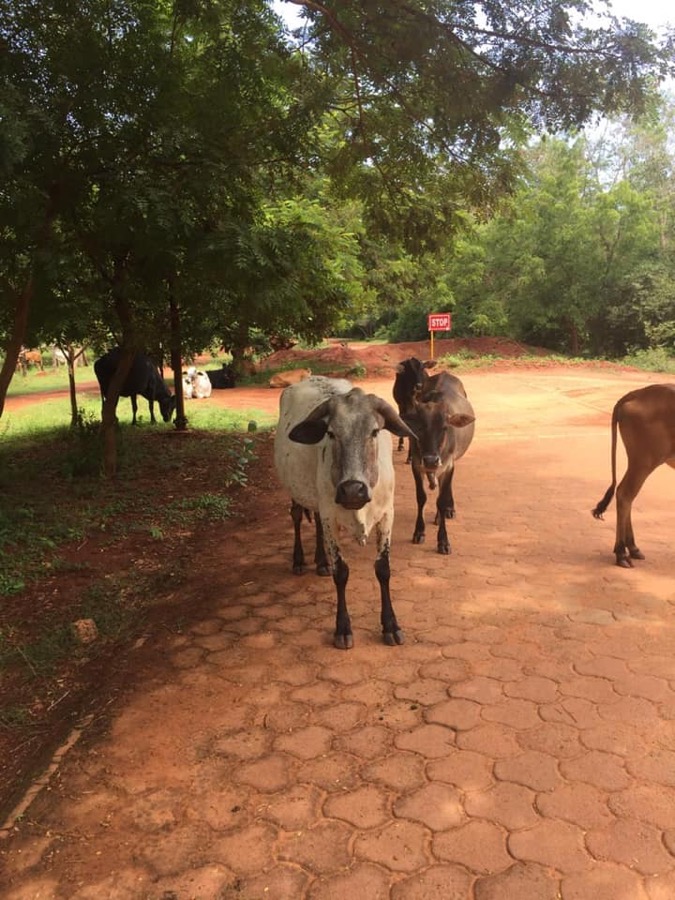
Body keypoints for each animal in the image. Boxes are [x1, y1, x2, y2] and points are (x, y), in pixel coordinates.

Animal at [274, 375, 417, 649]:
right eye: (331, 433)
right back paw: (299, 560)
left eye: (374, 431)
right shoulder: (331, 516)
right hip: (296, 490)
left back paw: (321, 562)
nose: (353, 490)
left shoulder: (387, 515)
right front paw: (343, 628)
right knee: (296, 516)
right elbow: (341, 572)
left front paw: (391, 625)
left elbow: (383, 569)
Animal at [402, 371, 475, 554]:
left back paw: (448, 511)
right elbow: (421, 497)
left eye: (444, 428)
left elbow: (441, 501)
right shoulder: (416, 465)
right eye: (419, 427)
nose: (431, 460)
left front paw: (443, 541)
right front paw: (419, 531)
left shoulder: (448, 465)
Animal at [592, 383, 675, 567]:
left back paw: (632, 548)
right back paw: (622, 552)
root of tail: (637, 393)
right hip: (644, 461)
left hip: (639, 462)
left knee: (625, 494)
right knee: (625, 494)